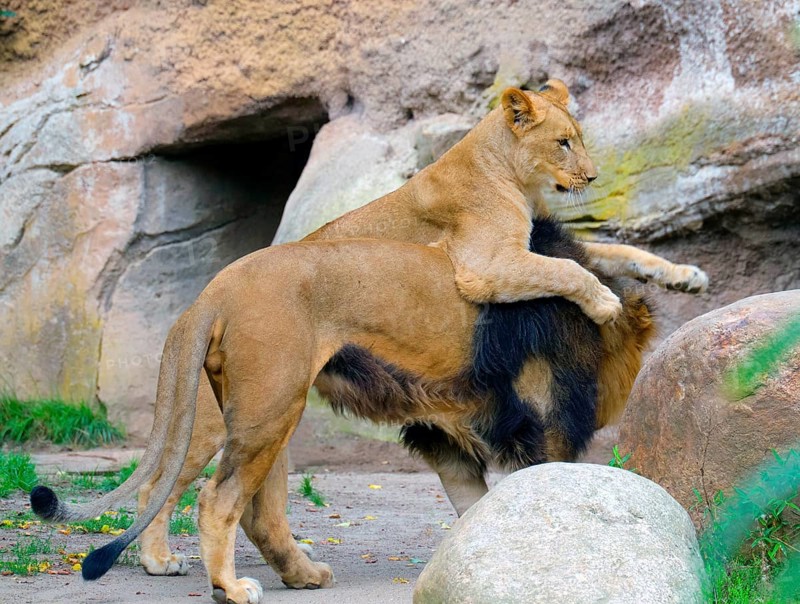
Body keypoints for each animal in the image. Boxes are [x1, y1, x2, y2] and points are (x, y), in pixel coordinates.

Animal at [31, 218, 656, 604]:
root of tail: (214, 291)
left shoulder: (444, 434)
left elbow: (478, 506)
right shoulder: (542, 422)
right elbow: (544, 490)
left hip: (269, 408)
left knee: (247, 508)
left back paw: (298, 575)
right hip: (265, 406)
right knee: (215, 498)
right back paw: (229, 588)